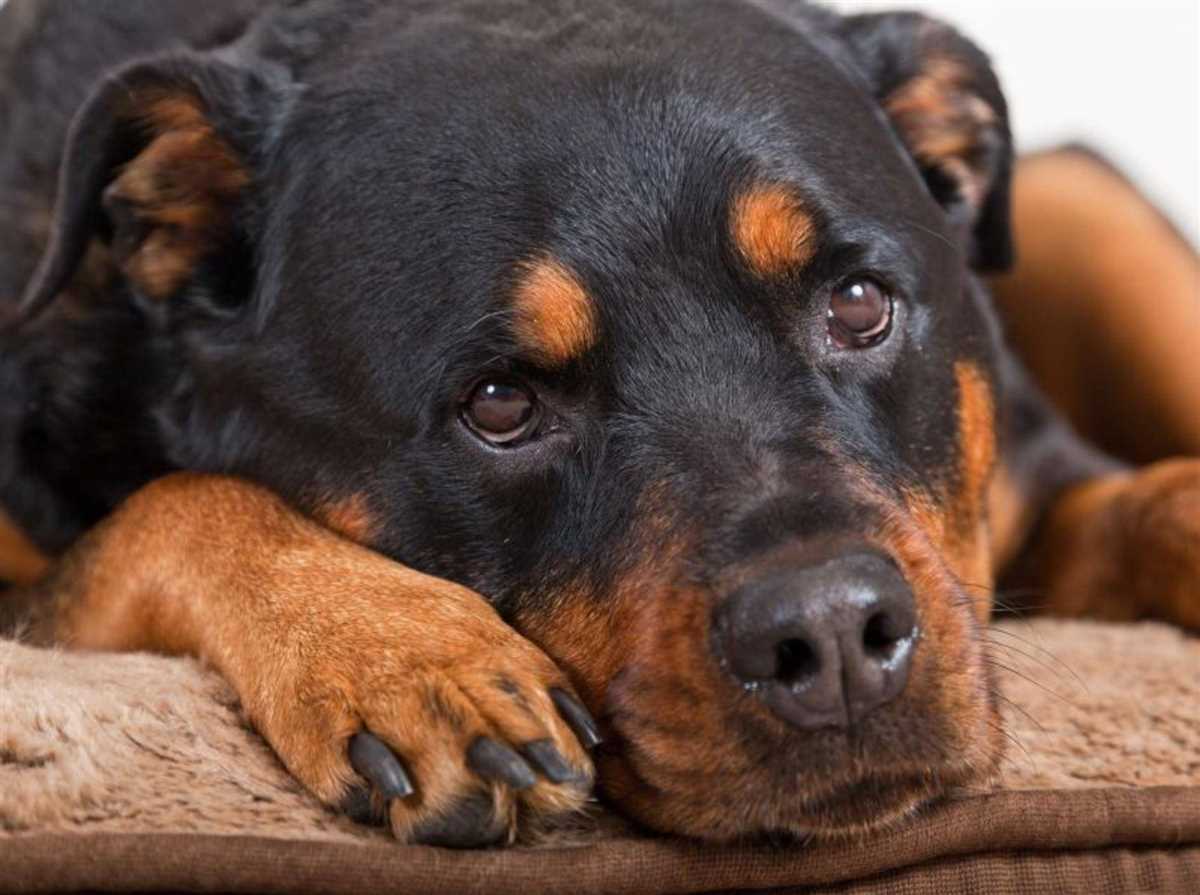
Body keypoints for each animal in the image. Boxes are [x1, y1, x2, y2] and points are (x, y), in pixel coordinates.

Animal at [2, 0, 1200, 844]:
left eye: (860, 304)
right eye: (500, 405)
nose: (828, 632)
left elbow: (1137, 503)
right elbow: (167, 507)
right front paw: (401, 652)